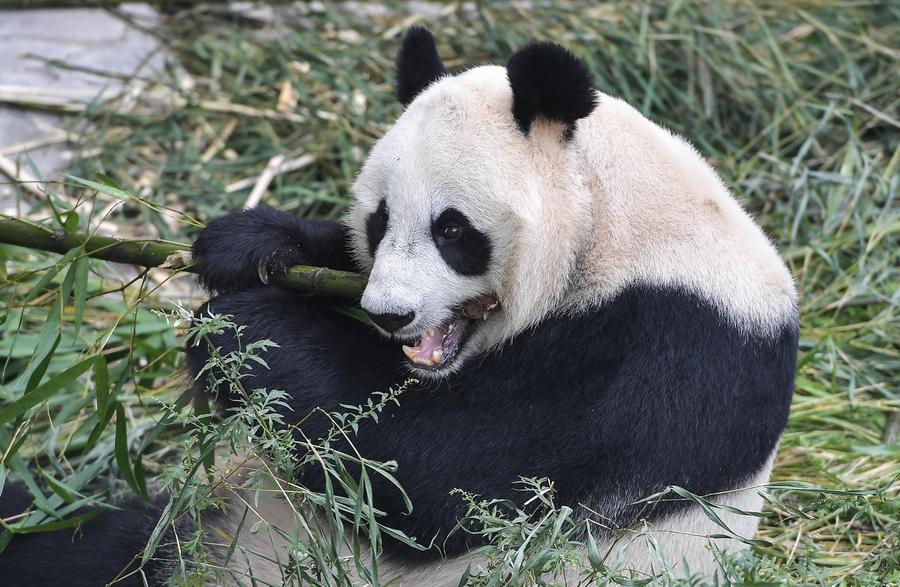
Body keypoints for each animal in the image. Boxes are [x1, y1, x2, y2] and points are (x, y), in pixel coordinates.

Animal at [3, 28, 800, 587]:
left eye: (453, 230)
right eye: (381, 219)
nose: (389, 315)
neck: (613, 218)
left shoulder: (662, 346)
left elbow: (438, 472)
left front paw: (245, 333)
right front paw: (249, 244)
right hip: (207, 527)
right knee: (77, 541)